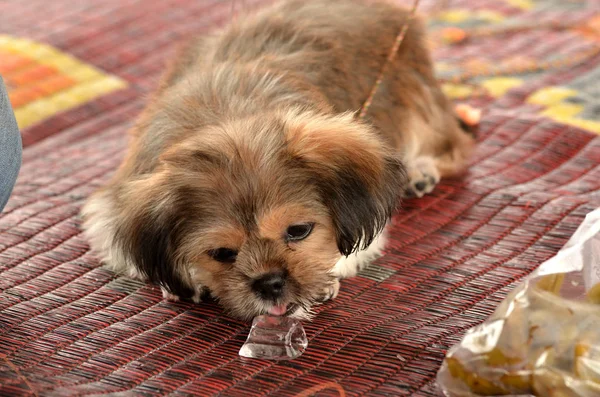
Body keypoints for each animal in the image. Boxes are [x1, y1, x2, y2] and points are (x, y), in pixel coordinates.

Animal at [81, 0, 474, 318]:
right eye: (221, 252)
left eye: (299, 231)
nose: (269, 282)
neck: (230, 119)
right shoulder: (110, 210)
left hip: (415, 102)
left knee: (446, 145)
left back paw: (419, 172)